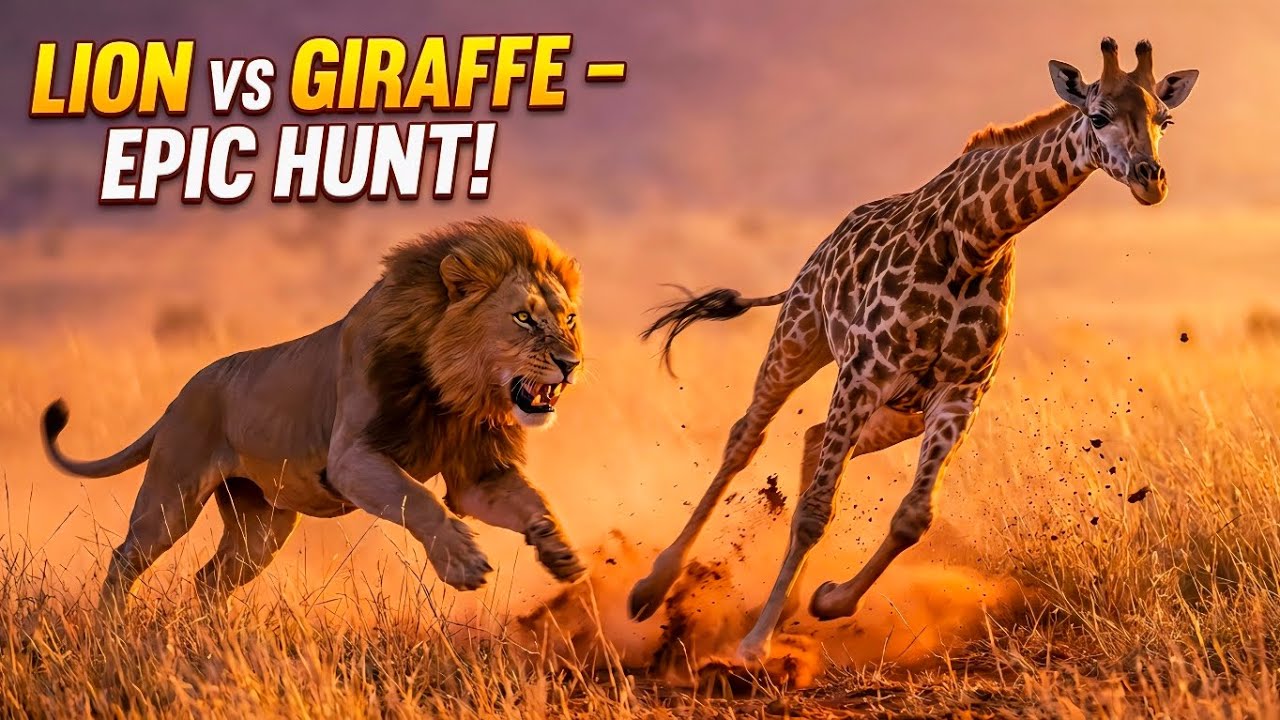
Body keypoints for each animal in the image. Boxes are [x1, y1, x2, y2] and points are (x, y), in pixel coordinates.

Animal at [41, 218, 588, 613]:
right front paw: (463, 562)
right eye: (523, 318)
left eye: (569, 318)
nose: (571, 364)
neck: (453, 393)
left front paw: (561, 552)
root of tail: (180, 396)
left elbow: (533, 500)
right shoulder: (351, 458)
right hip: (172, 497)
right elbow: (418, 499)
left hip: (262, 526)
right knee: (126, 558)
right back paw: (110, 629)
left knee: (210, 579)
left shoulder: (477, 474)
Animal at [627, 38, 1199, 663]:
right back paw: (653, 588)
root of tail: (822, 248)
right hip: (800, 339)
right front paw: (755, 645)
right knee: (744, 439)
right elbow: (814, 513)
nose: (1151, 179)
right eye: (1098, 116)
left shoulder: (959, 392)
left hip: (898, 409)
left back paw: (781, 604)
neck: (977, 238)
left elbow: (912, 518)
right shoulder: (864, 372)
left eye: (1164, 119)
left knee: (812, 437)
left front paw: (827, 600)